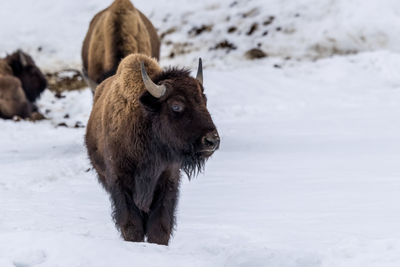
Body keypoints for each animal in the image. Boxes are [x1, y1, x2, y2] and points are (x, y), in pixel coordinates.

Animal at [85, 55, 220, 247]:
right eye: (176, 106)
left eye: (204, 100)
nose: (211, 140)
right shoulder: (120, 181)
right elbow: (131, 224)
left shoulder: (167, 180)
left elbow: (160, 226)